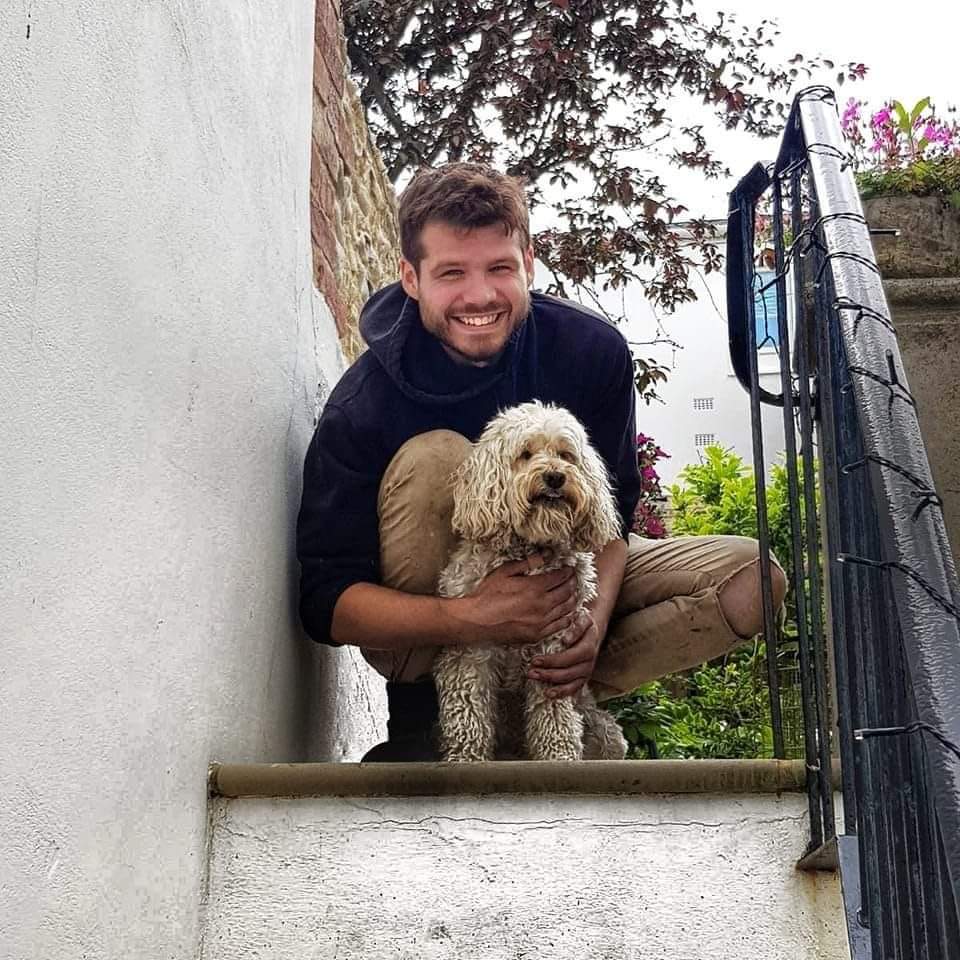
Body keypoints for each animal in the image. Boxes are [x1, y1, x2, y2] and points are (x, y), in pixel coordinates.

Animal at [436, 402, 632, 760]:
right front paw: (466, 759)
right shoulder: (469, 651)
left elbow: (554, 720)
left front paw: (560, 758)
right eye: (525, 454)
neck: (529, 549)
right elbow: (468, 718)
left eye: (566, 455)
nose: (555, 476)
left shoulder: (553, 651)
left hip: (605, 733)